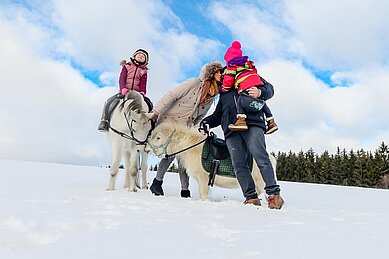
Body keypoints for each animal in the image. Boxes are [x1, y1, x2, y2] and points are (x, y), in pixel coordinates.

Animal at [145, 123, 276, 201]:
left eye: (158, 137)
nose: (146, 149)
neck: (191, 146)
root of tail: (271, 158)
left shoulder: (203, 177)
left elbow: (203, 193)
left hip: (262, 182)